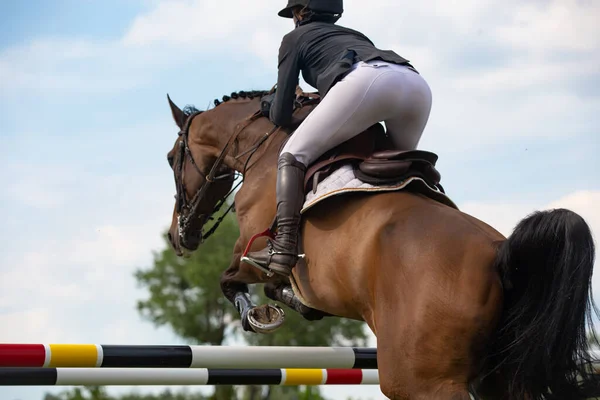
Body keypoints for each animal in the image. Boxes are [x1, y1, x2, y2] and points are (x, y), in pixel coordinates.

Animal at [163, 90, 600, 400]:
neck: (266, 147)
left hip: (420, 381)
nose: (177, 236)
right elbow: (279, 289)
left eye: (171, 158)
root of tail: (500, 253)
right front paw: (293, 305)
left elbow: (231, 279)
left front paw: (259, 316)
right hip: (500, 375)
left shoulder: (251, 251)